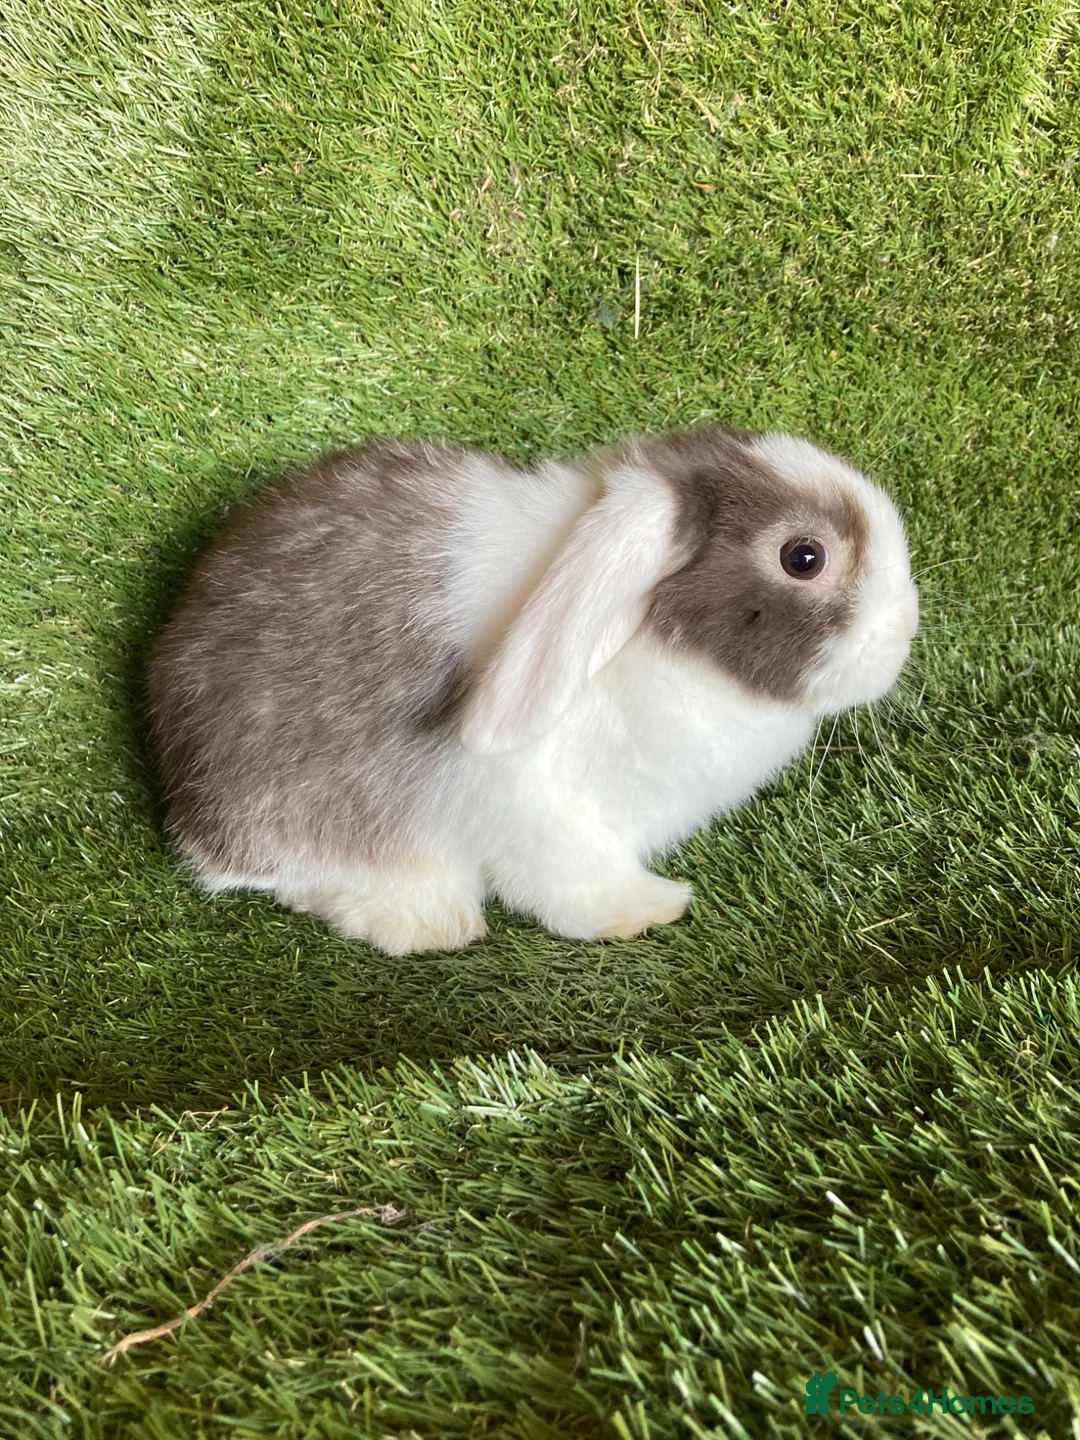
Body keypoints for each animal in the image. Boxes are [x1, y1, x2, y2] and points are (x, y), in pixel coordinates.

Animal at [147, 425, 919, 955]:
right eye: (803, 557)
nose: (905, 630)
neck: (657, 647)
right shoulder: (546, 813)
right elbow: (573, 884)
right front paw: (649, 908)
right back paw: (428, 917)